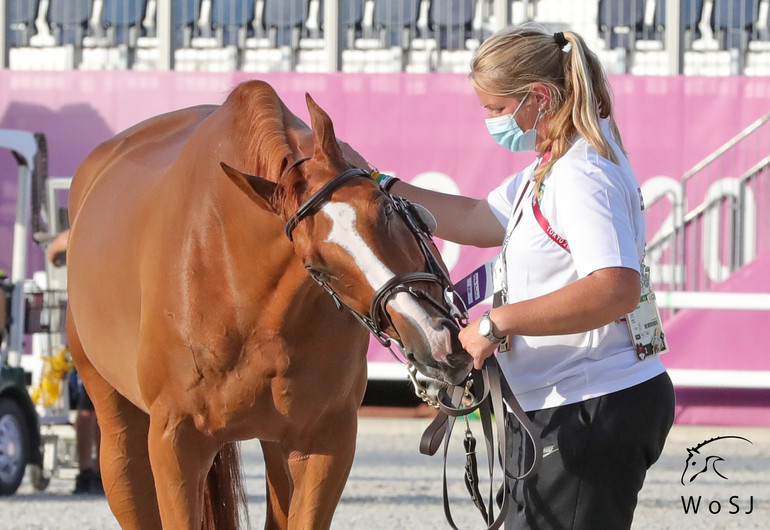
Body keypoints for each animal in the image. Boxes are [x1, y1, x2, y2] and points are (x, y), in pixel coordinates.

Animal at [64, 79, 468, 528]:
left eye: (387, 209)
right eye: (318, 265)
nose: (434, 341)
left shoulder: (325, 440)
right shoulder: (175, 441)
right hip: (119, 426)